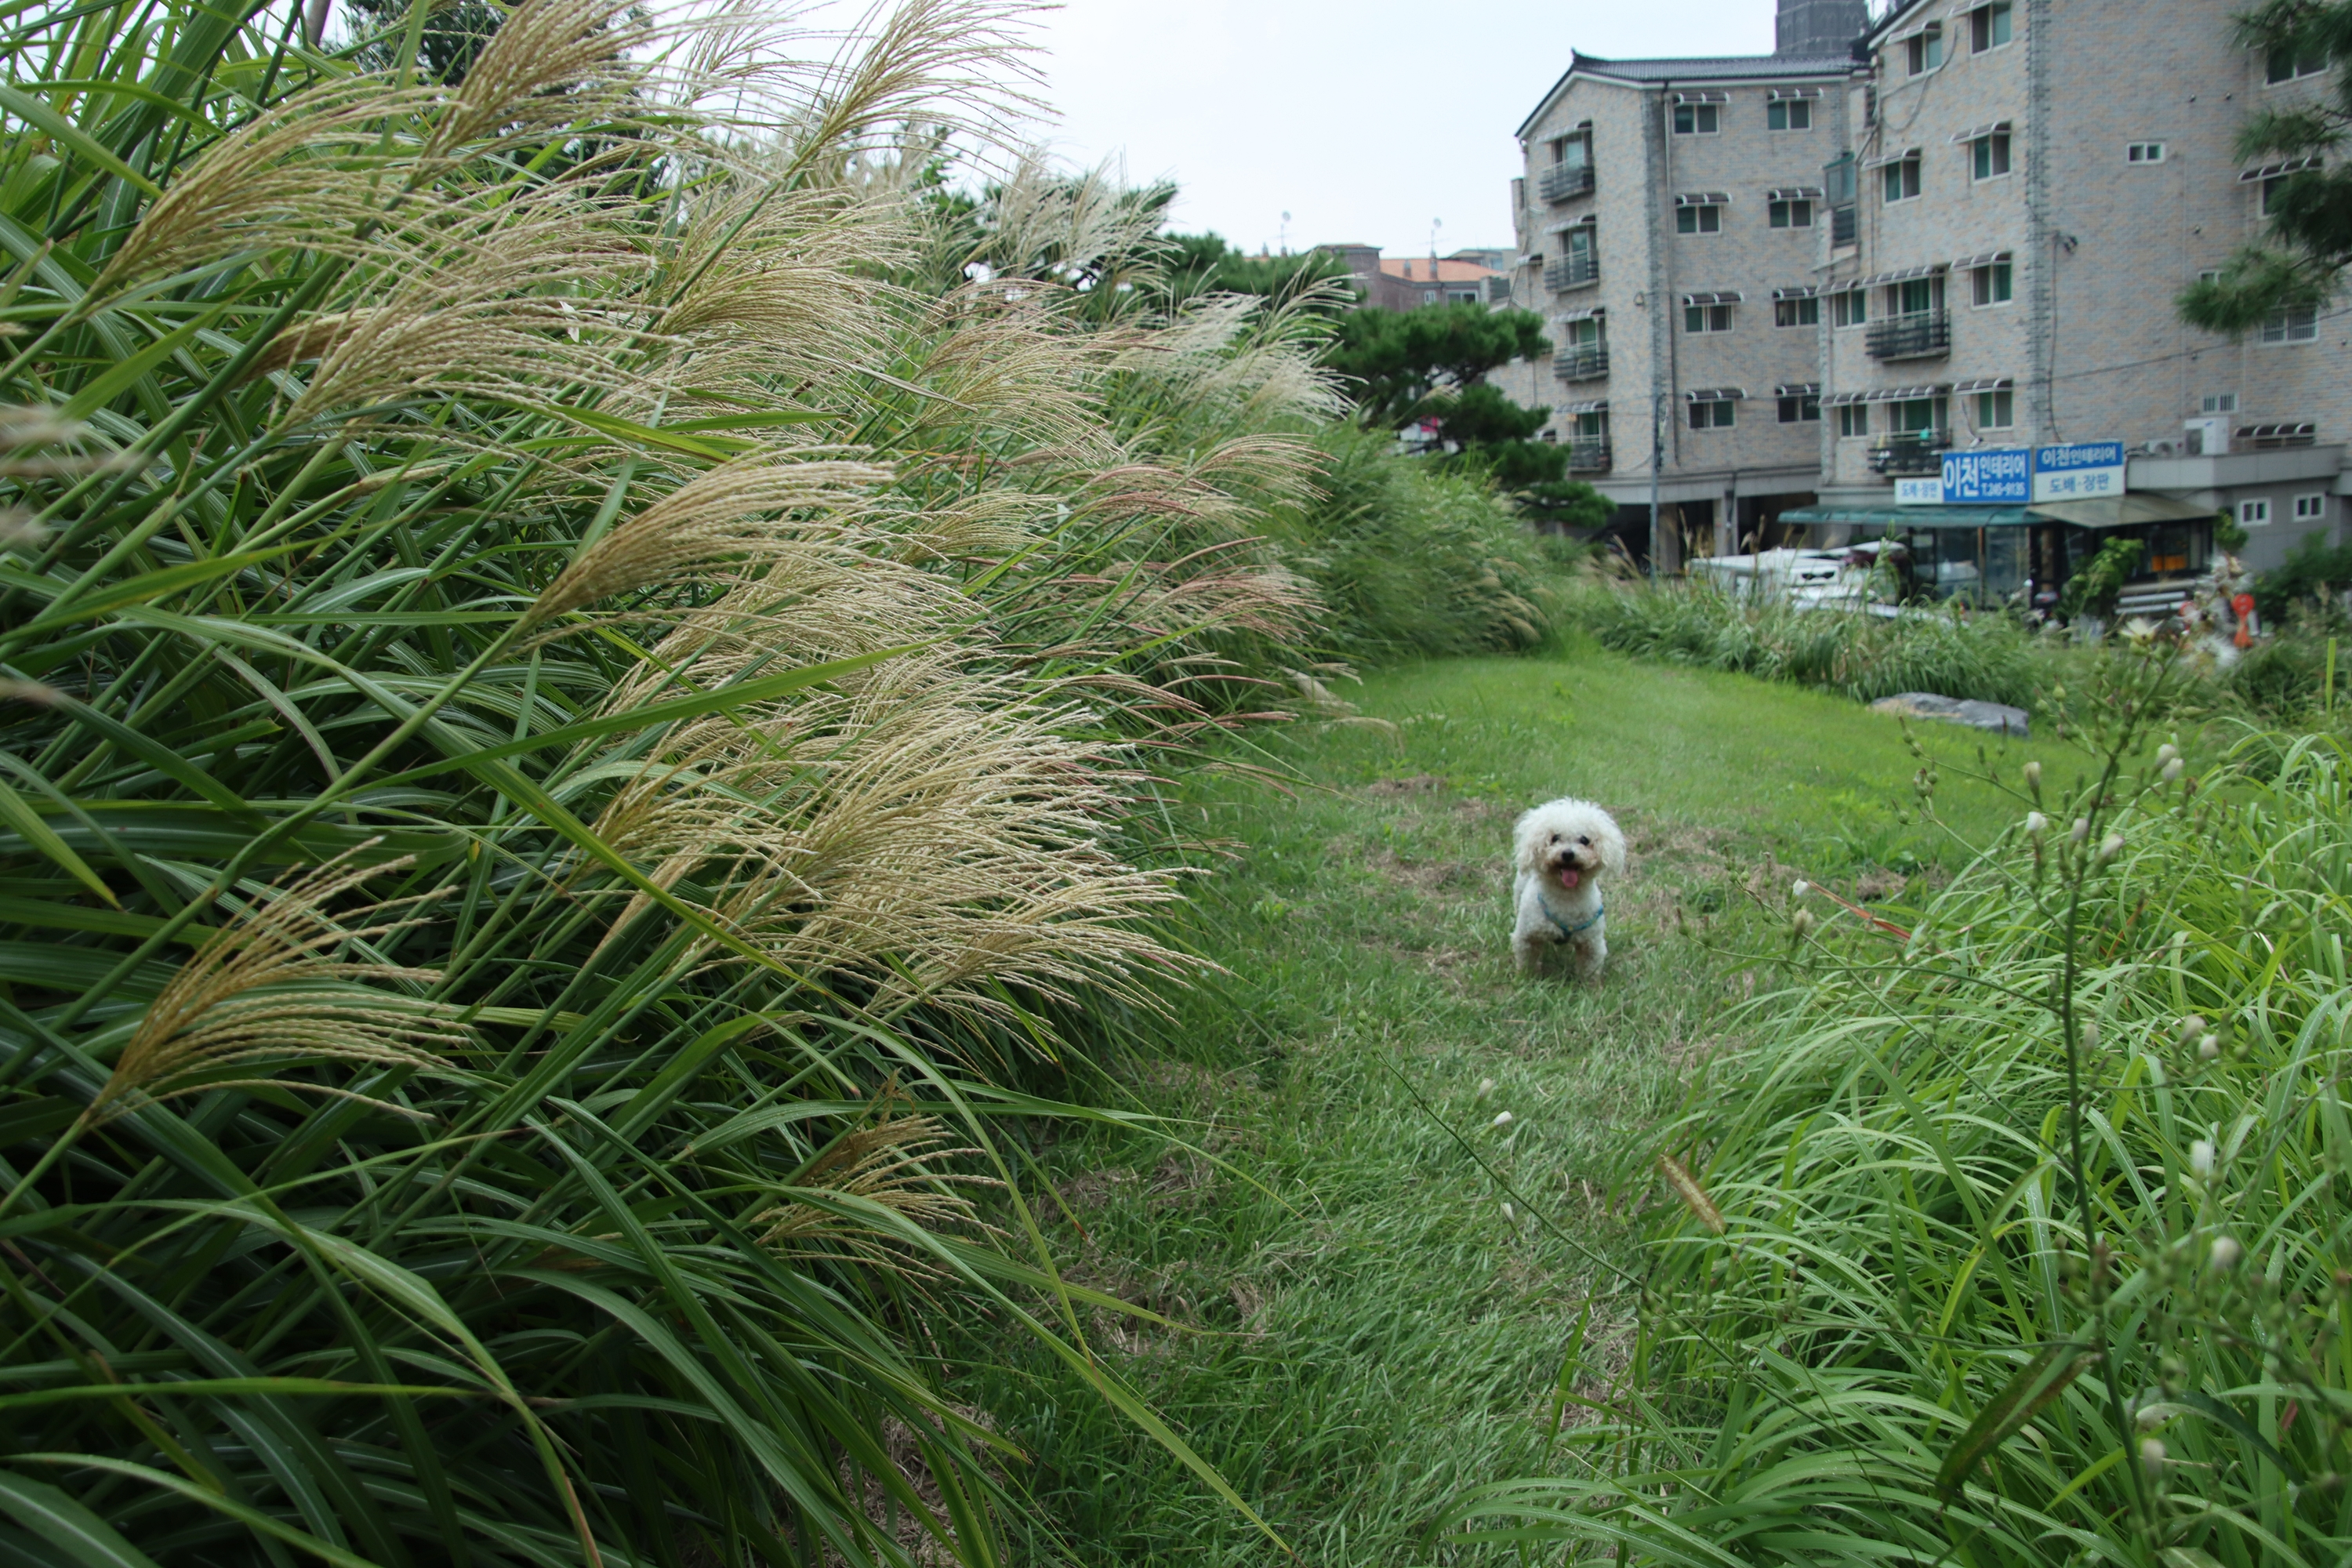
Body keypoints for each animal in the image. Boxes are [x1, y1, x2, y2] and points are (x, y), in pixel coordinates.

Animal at [1511, 798, 1627, 979]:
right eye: (1555, 838)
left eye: (1585, 840)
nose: (1567, 854)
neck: (1567, 895)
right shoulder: (1527, 936)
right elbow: (1527, 959)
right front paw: (1526, 978)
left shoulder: (1592, 943)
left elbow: (1589, 969)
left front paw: (1588, 985)